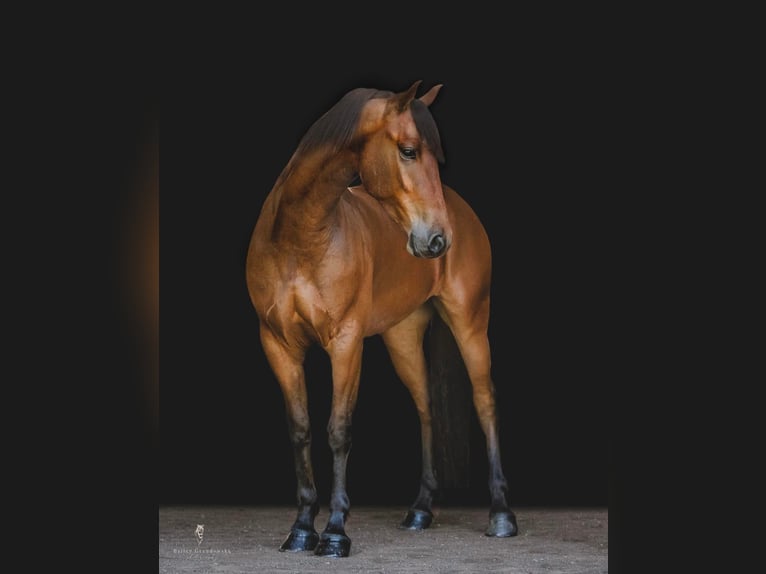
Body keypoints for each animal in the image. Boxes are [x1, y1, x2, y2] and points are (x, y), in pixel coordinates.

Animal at [249, 80, 520, 560]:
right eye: (409, 151)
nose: (438, 240)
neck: (300, 238)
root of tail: (461, 210)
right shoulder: (278, 345)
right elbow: (300, 430)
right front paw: (301, 529)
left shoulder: (345, 342)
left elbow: (338, 430)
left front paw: (335, 533)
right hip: (403, 337)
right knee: (425, 407)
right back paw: (421, 510)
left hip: (470, 322)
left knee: (485, 401)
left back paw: (501, 515)